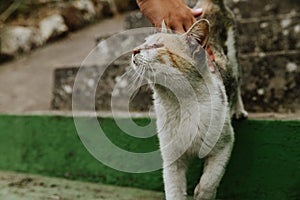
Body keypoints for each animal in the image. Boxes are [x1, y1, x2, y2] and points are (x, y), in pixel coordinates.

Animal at [131, 0, 246, 198]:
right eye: (144, 43)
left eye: (157, 46)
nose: (134, 50)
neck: (178, 104)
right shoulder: (171, 160)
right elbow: (174, 191)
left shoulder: (225, 144)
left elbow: (209, 180)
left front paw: (201, 193)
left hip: (233, 57)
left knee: (237, 83)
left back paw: (238, 110)